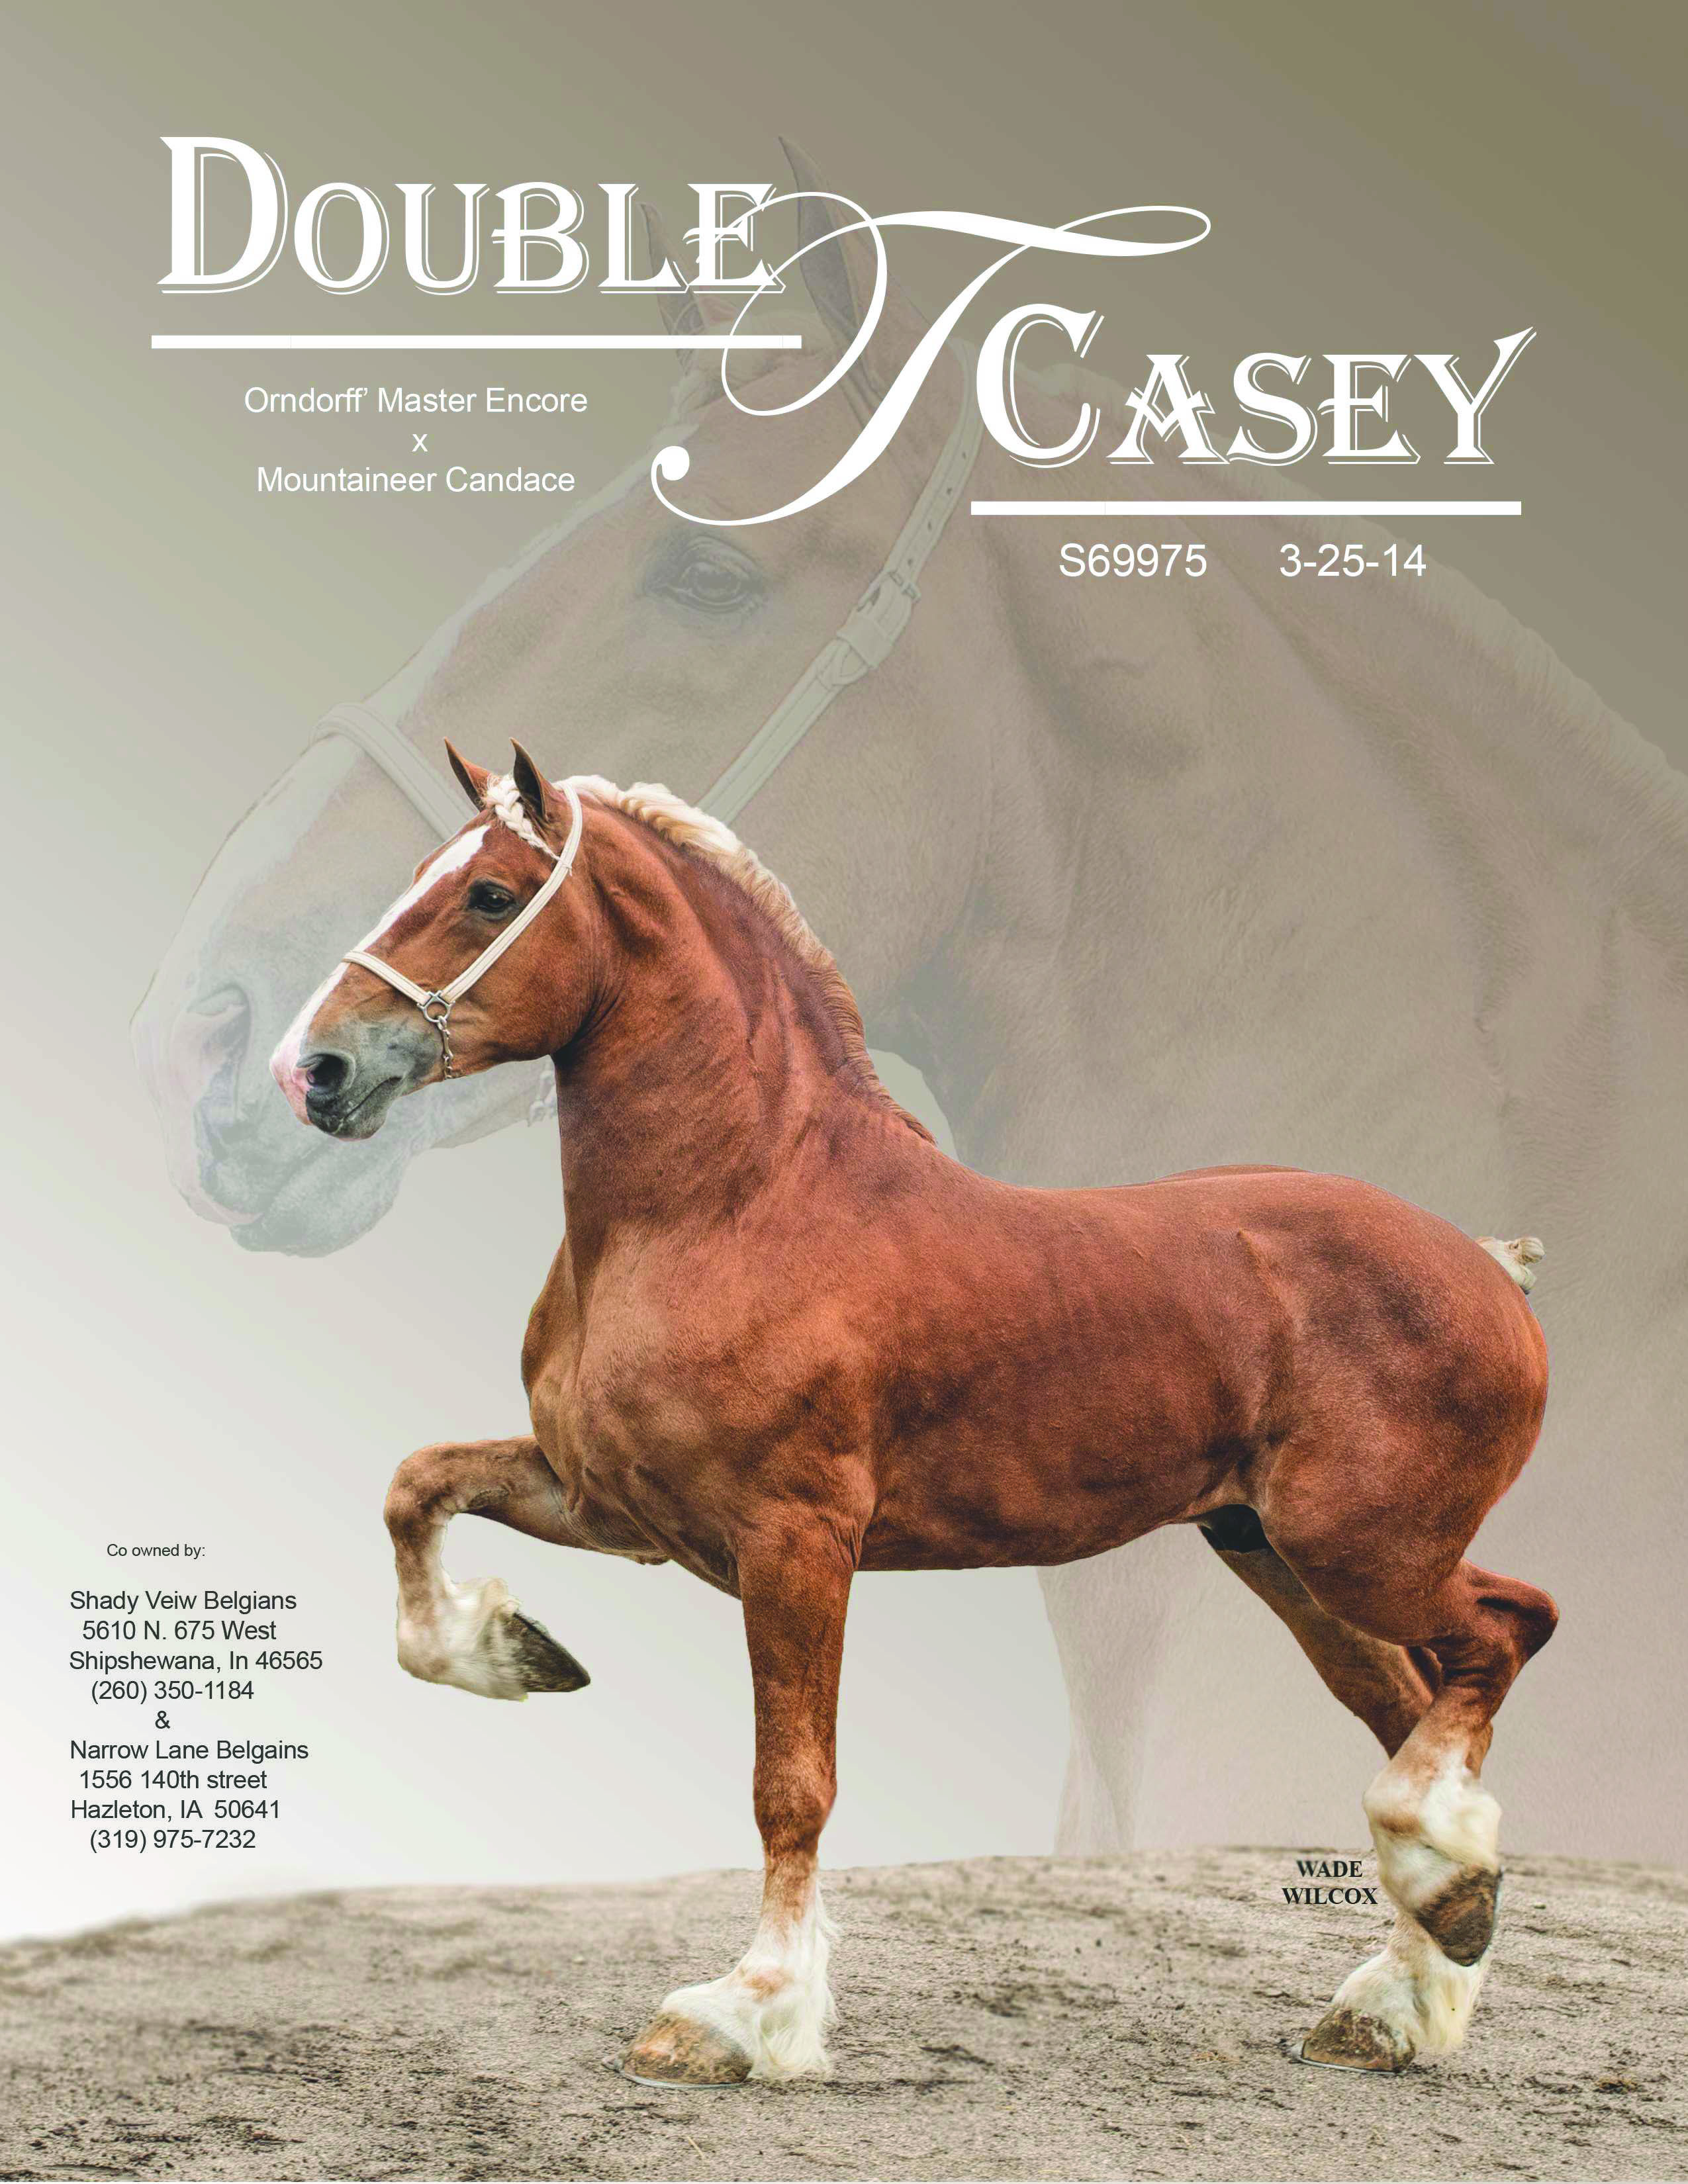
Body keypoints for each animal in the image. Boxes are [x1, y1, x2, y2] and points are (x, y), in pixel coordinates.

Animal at [270, 742, 1557, 2082]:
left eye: (491, 894)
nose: (314, 1069)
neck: (735, 1204)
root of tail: (1484, 1268)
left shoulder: (794, 1544)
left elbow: (791, 1786)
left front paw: (746, 2013)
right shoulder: (613, 1505)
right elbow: (416, 1486)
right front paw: (513, 1653)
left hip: (1364, 1551)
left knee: (1508, 1632)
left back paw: (1436, 1895)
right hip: (1279, 1559)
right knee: (1413, 1704)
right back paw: (1400, 1991)